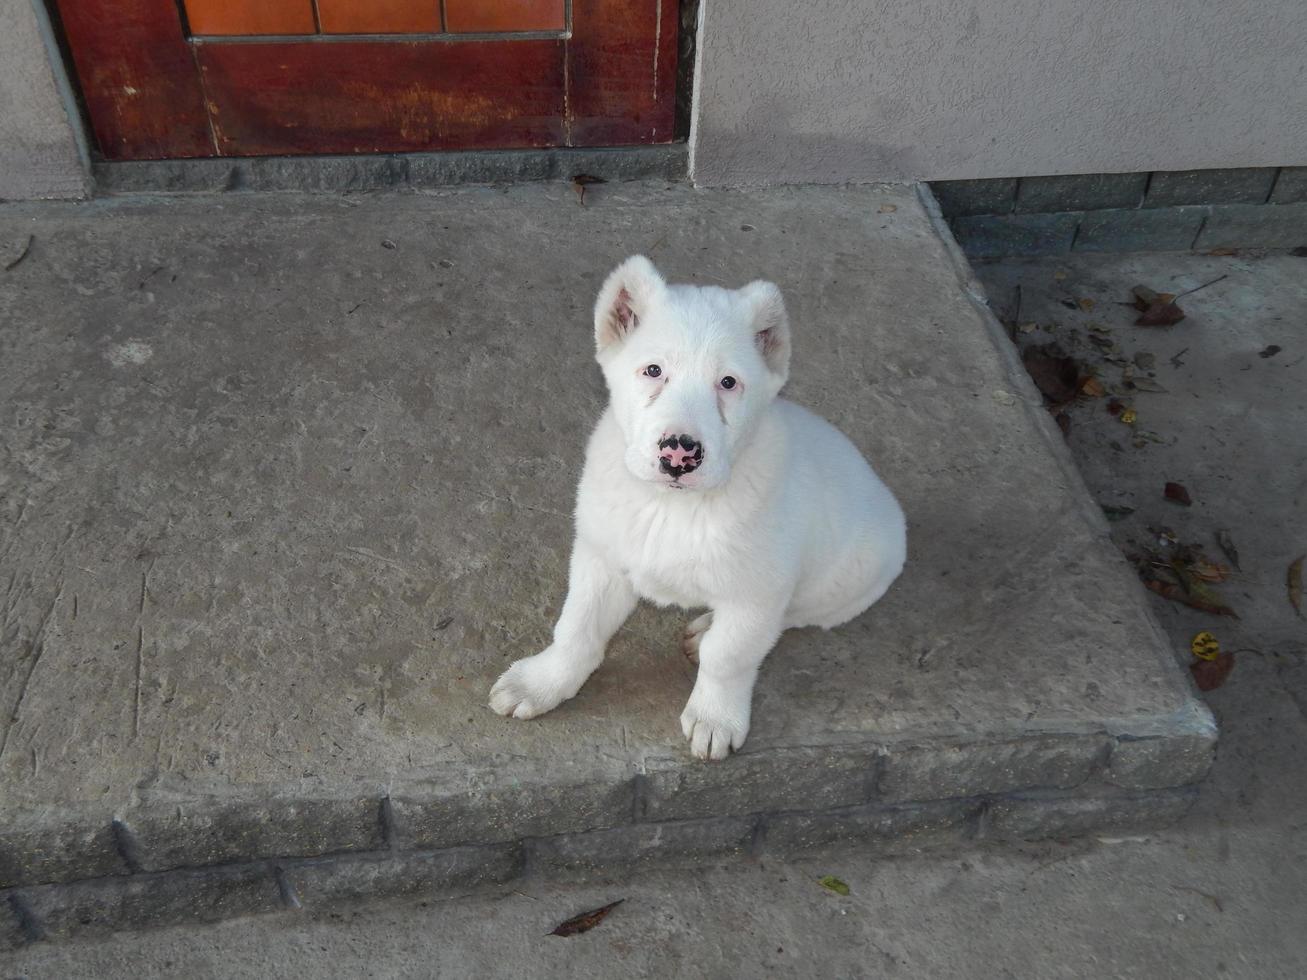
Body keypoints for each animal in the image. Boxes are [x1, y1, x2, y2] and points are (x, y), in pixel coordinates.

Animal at [486, 257, 904, 763]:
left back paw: (707, 630)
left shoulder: (757, 592)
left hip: (850, 578)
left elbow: (729, 657)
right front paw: (544, 681)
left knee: (790, 616)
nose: (679, 455)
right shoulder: (601, 558)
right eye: (653, 370)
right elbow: (578, 626)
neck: (672, 507)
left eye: (728, 382)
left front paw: (715, 716)